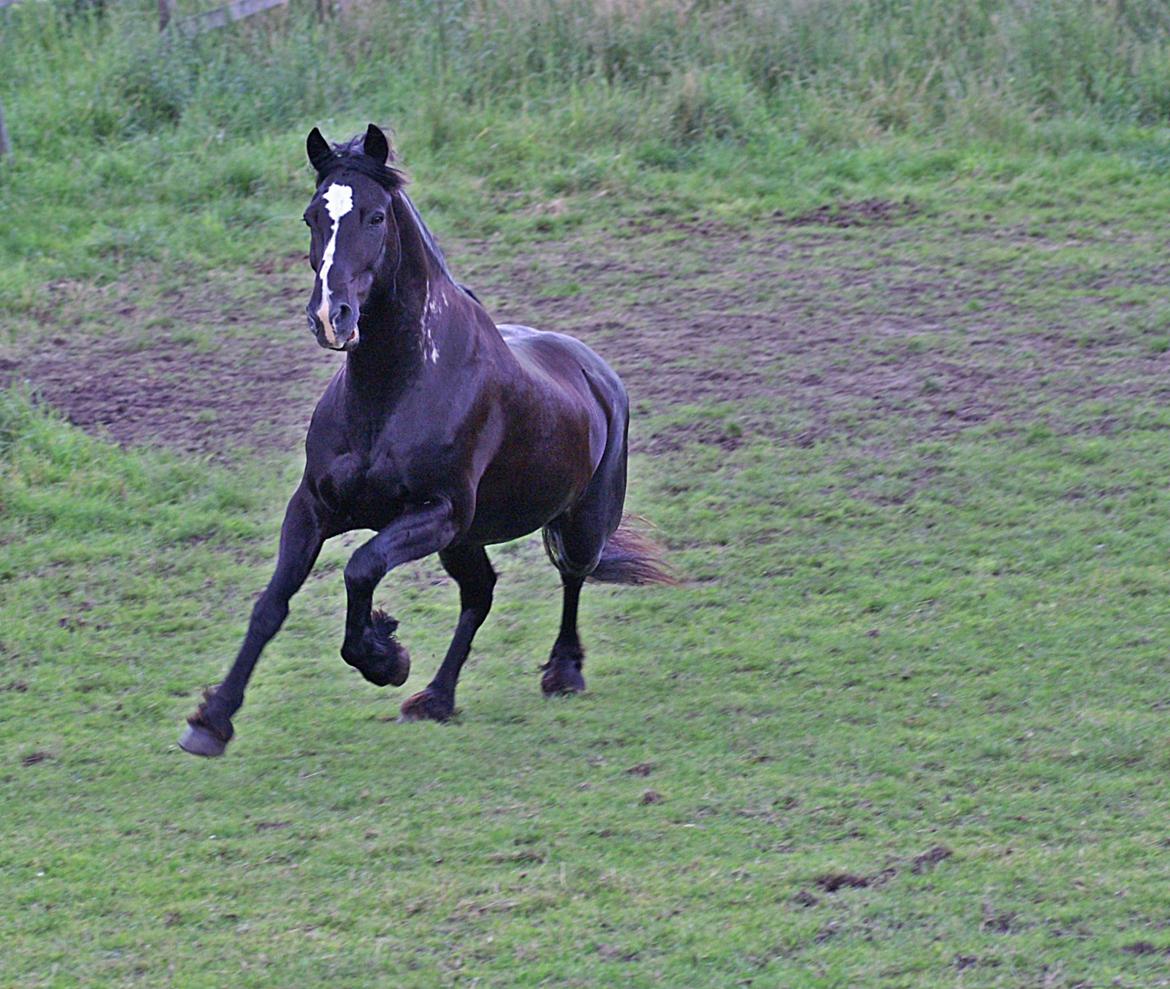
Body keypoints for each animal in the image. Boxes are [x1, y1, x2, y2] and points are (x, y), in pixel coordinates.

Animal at [174, 125, 669, 758]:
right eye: (312, 216)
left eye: (376, 216)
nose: (330, 318)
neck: (393, 389)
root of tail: (596, 372)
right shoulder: (313, 507)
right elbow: (272, 603)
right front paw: (212, 721)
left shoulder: (437, 512)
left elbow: (360, 568)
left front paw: (383, 655)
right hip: (467, 540)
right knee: (480, 595)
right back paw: (436, 698)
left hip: (575, 523)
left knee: (570, 578)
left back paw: (562, 673)